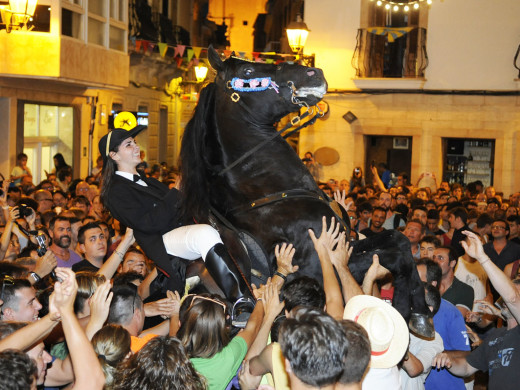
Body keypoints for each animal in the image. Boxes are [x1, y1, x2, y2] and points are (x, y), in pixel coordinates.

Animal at [181, 46, 432, 338]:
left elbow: (399, 241)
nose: (314, 72)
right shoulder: (319, 270)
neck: (268, 192)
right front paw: (407, 309)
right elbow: (393, 254)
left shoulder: (345, 243)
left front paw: (418, 312)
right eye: (247, 71)